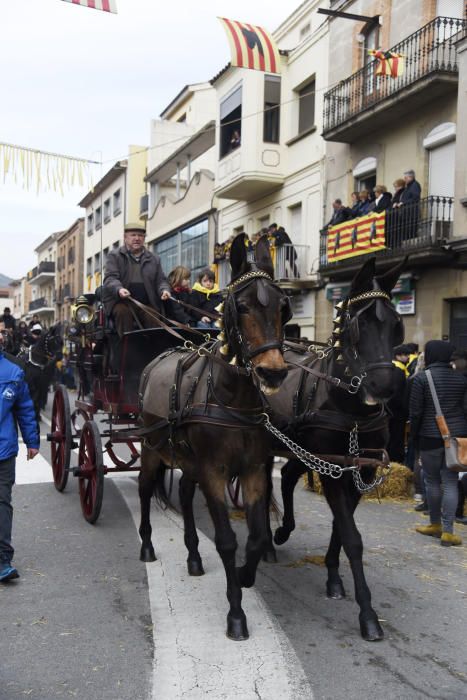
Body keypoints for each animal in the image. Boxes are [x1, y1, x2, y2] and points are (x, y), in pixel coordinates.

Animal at [139, 234, 290, 640]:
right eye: (242, 305)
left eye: (283, 308)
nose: (273, 373)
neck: (232, 398)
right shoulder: (213, 473)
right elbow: (226, 541)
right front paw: (236, 614)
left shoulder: (252, 472)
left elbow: (256, 539)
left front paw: (245, 575)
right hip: (150, 450)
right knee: (144, 490)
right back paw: (146, 546)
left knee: (184, 493)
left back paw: (193, 555)